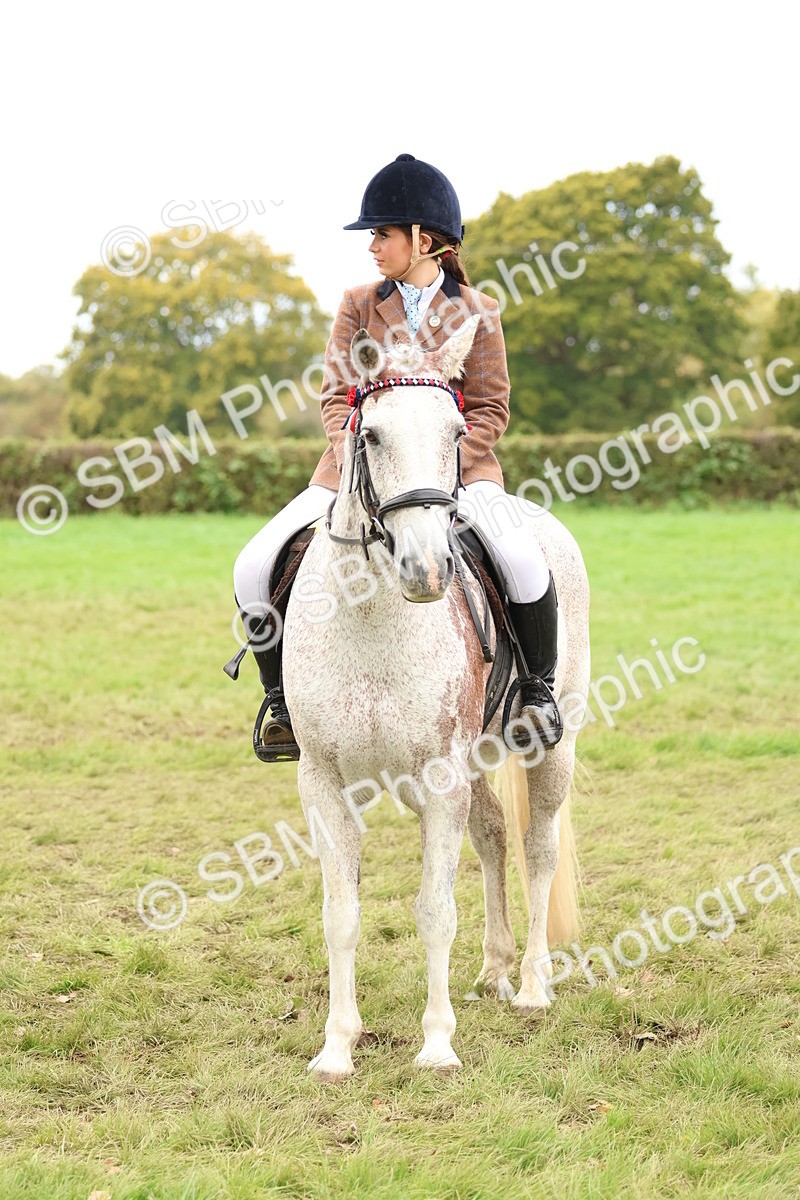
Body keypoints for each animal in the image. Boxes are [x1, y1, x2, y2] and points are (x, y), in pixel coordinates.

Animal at [281, 318, 591, 1080]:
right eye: (370, 436)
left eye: (456, 430)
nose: (426, 568)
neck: (370, 619)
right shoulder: (322, 782)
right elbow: (341, 914)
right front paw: (337, 1046)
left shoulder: (440, 778)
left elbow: (434, 910)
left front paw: (437, 1043)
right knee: (495, 836)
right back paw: (493, 971)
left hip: (553, 746)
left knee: (538, 848)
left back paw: (533, 984)